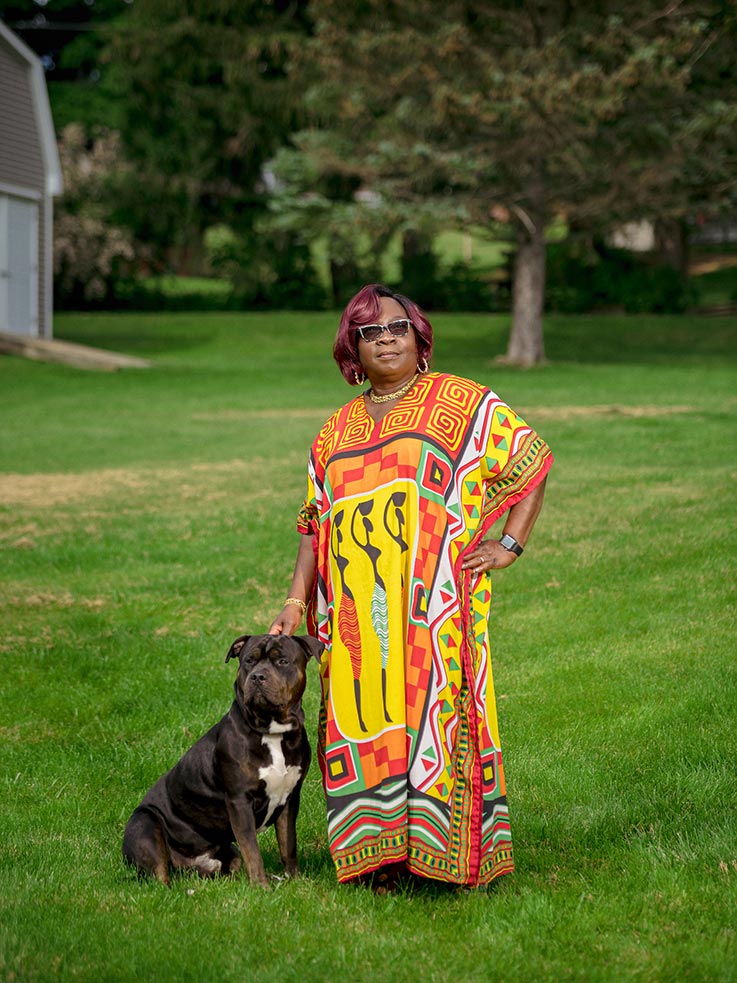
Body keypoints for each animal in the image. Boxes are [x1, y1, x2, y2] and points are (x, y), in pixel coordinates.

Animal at [122, 636, 320, 888]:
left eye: (282, 661)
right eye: (249, 660)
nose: (257, 676)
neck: (273, 731)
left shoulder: (289, 798)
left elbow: (288, 844)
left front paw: (293, 880)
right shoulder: (239, 802)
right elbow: (253, 851)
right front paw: (261, 887)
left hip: (227, 854)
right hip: (145, 825)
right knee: (159, 875)